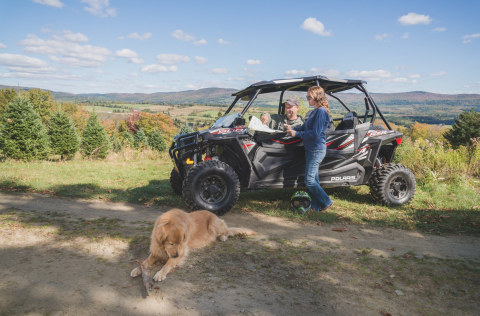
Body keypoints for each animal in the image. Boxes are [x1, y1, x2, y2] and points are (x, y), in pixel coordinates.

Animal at [127, 209, 255, 280]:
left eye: (180, 243)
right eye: (171, 243)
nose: (176, 255)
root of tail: (213, 214)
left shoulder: (180, 253)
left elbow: (167, 264)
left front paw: (160, 274)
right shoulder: (156, 250)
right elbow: (144, 262)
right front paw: (137, 269)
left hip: (214, 224)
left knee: (226, 231)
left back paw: (223, 237)